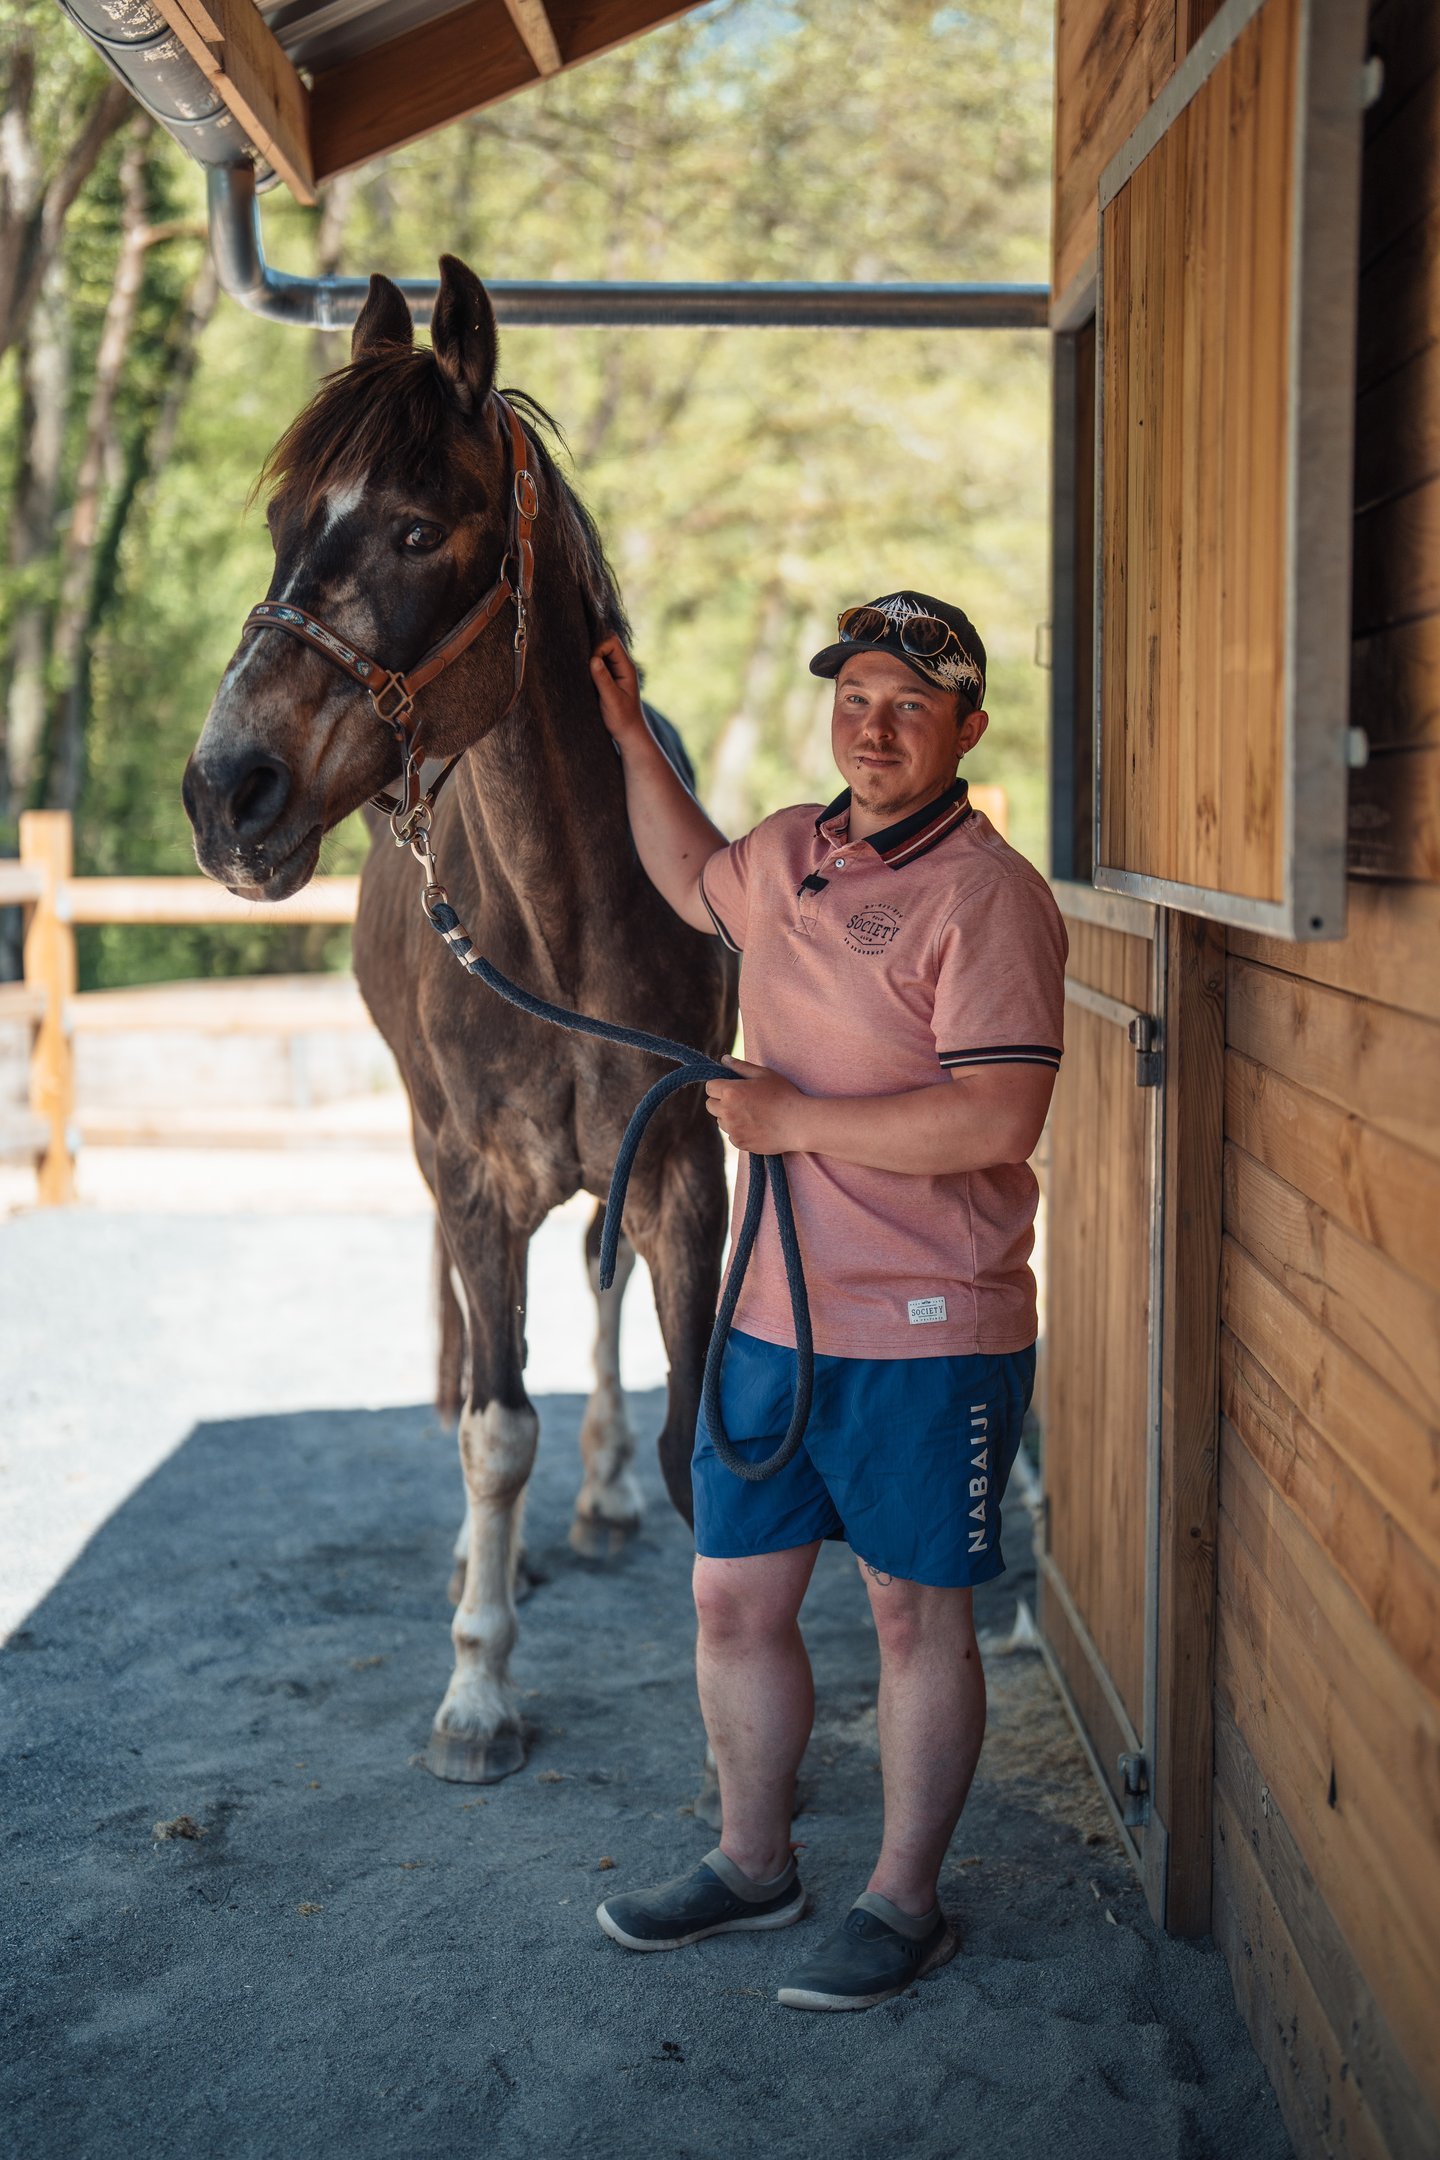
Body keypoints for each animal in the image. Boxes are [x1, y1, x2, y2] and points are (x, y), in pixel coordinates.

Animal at [182, 256, 736, 1783]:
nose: (225, 793)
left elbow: (686, 1410)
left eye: (418, 528)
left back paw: (599, 1505)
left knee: (595, 1306)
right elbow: (494, 1432)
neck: (552, 923)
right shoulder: (476, 1177)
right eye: (280, 524)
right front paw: (477, 1689)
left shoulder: (685, 1163)